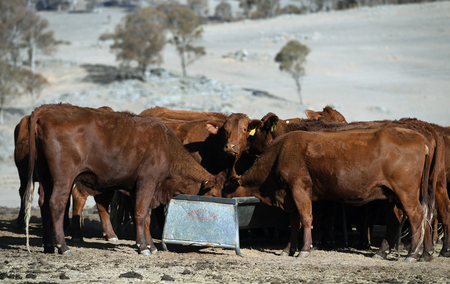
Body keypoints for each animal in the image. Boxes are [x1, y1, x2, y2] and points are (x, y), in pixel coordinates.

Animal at [23, 104, 224, 255]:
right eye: (214, 195)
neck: (166, 147)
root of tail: (47, 111)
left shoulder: (140, 190)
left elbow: (147, 218)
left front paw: (151, 246)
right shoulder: (146, 184)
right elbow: (141, 215)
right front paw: (143, 247)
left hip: (46, 178)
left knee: (44, 205)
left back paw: (49, 245)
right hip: (63, 179)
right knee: (56, 204)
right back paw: (63, 247)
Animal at [225, 127, 432, 262]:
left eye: (227, 189)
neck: (282, 152)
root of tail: (419, 138)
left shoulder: (299, 189)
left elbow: (306, 219)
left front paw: (304, 249)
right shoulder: (290, 196)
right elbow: (294, 223)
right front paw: (288, 249)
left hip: (406, 192)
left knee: (417, 216)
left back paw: (413, 254)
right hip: (390, 195)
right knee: (396, 221)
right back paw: (386, 253)